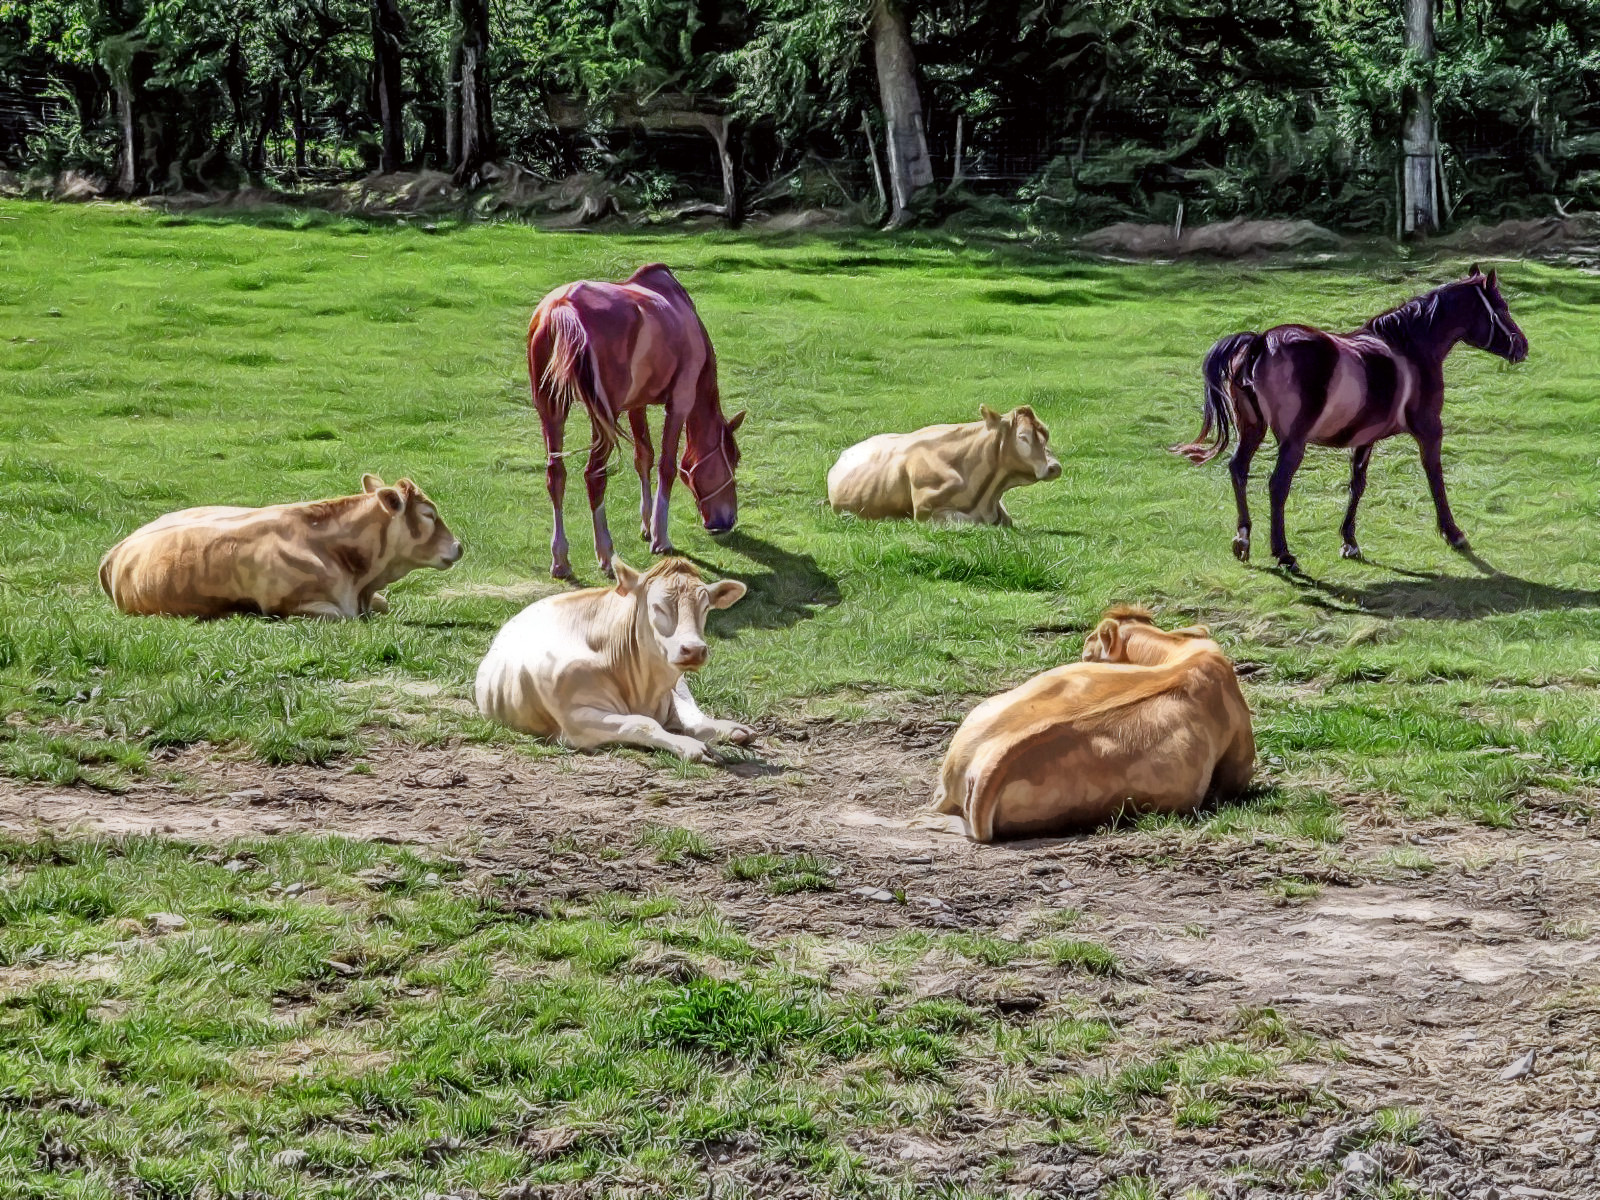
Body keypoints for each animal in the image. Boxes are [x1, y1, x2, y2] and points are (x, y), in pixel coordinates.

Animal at [474, 556, 753, 762]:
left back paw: (733, 730)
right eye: (657, 606)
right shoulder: (575, 721)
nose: (694, 649)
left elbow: (689, 720)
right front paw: (692, 747)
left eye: (705, 607)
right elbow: (644, 723)